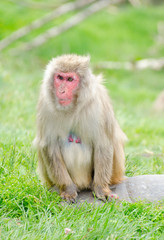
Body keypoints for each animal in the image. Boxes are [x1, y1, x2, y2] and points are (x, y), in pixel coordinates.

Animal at [34, 54, 127, 202]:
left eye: (70, 79)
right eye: (60, 77)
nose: (61, 90)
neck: (73, 107)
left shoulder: (98, 104)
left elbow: (103, 144)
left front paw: (101, 189)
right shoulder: (45, 104)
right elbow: (49, 145)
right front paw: (68, 189)